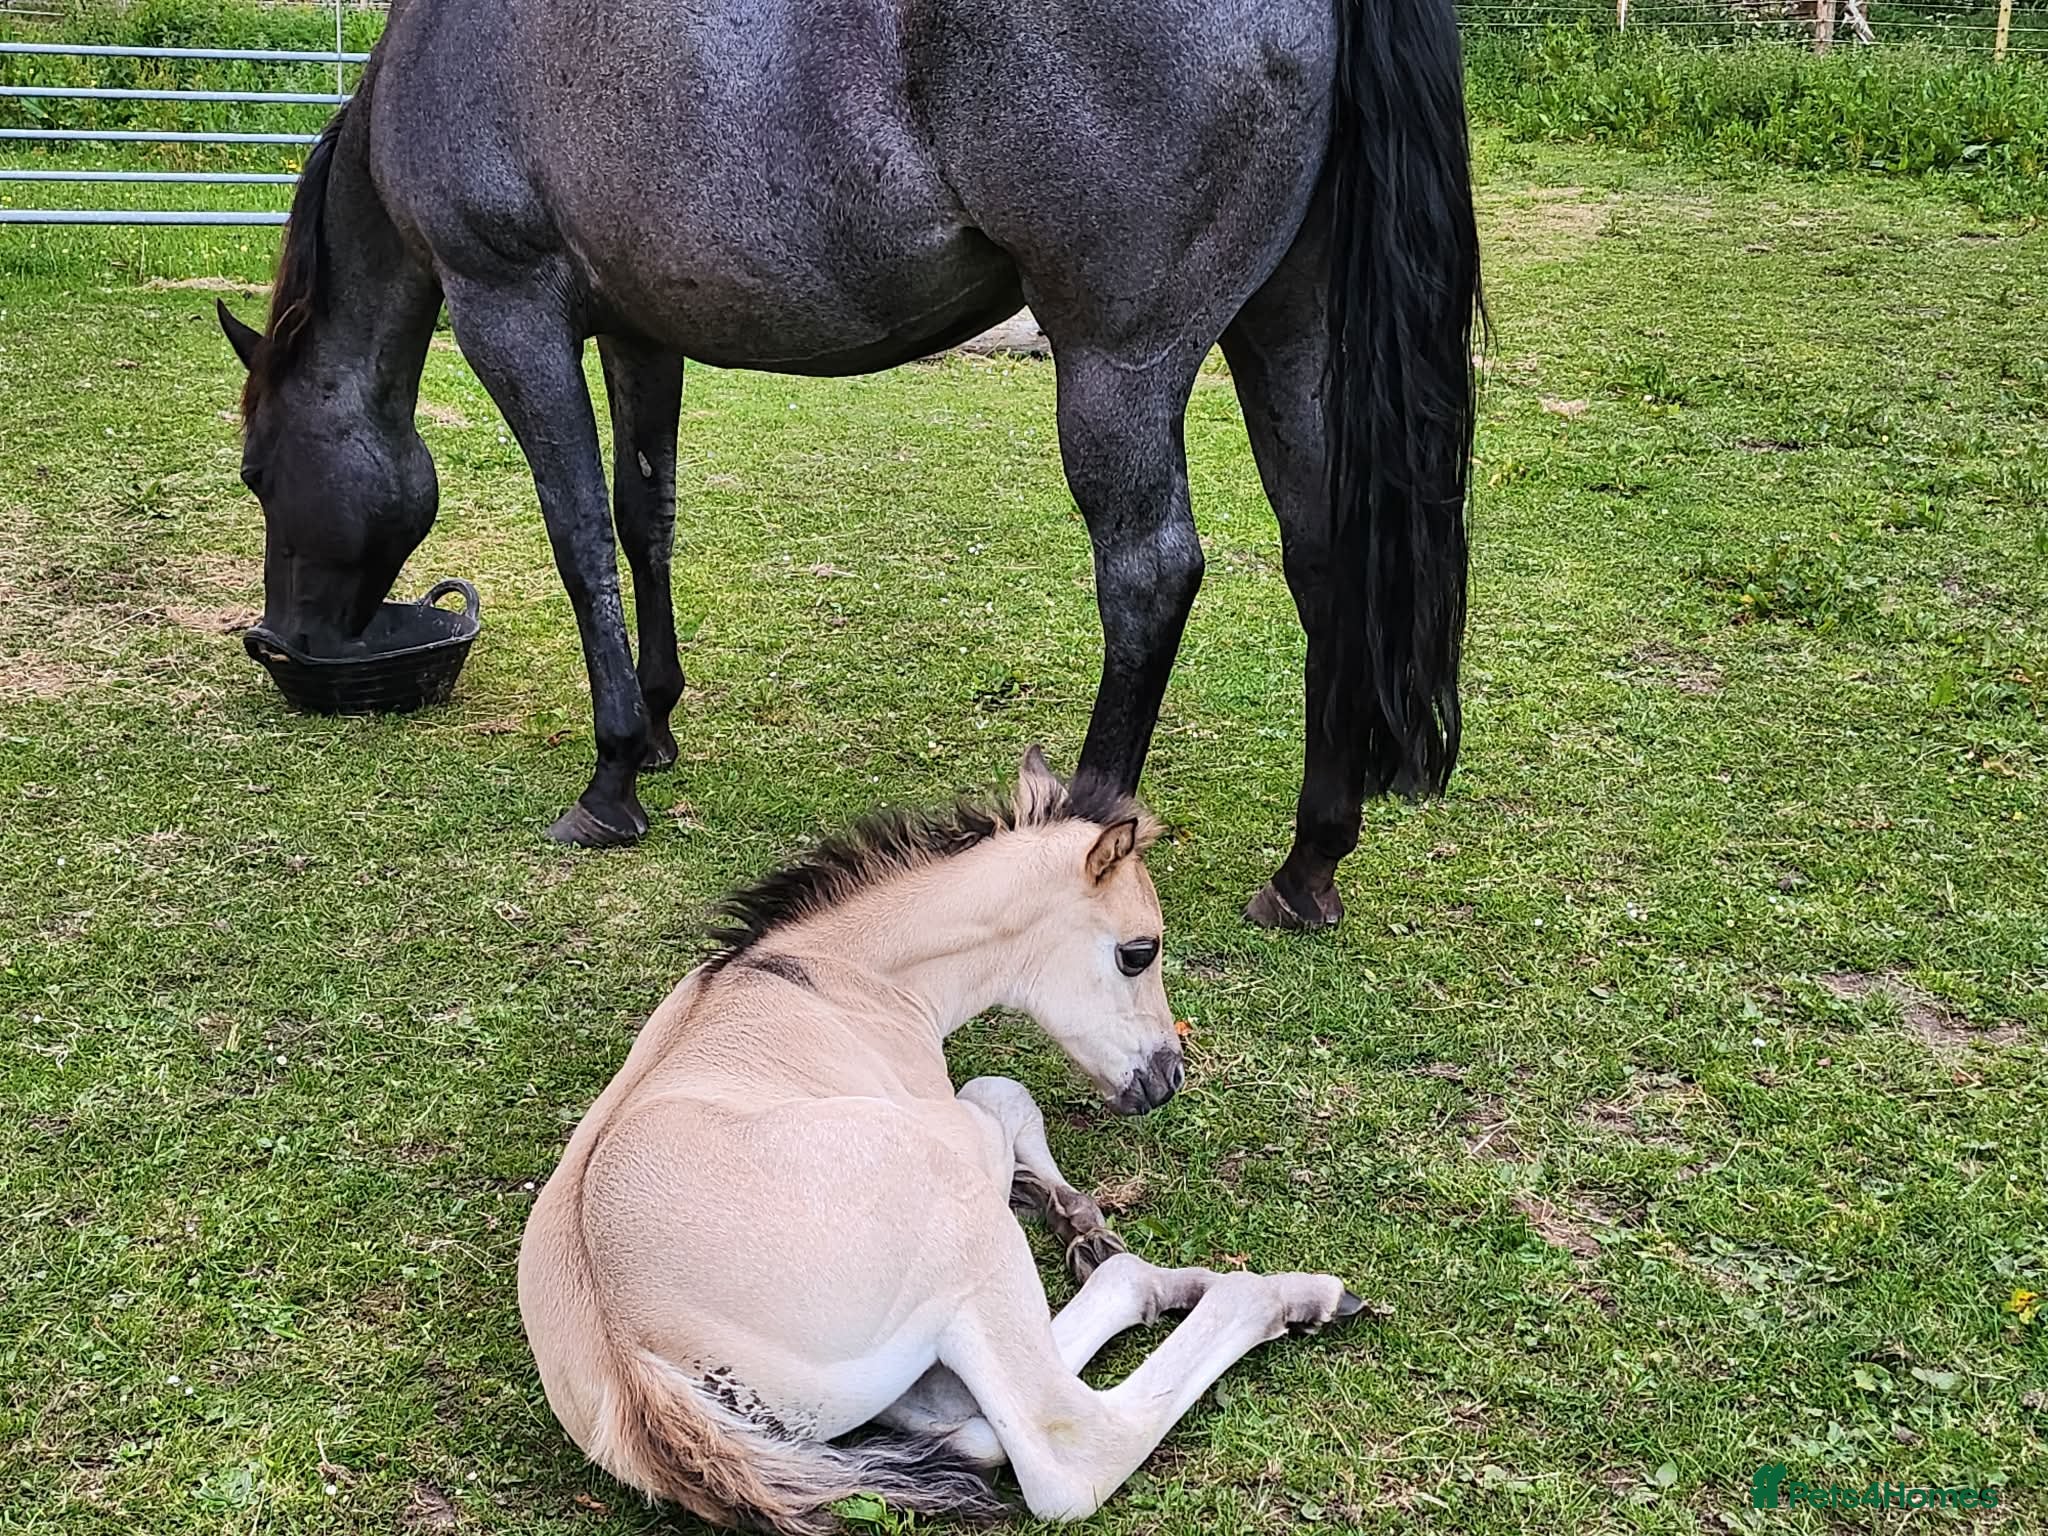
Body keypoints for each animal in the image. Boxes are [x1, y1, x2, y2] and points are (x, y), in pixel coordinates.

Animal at [217, 0, 1481, 930]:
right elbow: (642, 515)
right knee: (1325, 565)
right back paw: (1307, 866)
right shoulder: (636, 332)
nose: (290, 639)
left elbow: (578, 539)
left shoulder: (508, 312)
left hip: (1120, 359)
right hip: (1289, 330)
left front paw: (611, 776)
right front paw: (660, 726)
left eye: (258, 473)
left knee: (1147, 574)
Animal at [517, 748, 1366, 1530]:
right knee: (1064, 1443)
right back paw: (1282, 1294)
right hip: (966, 1236)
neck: (833, 977)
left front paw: (1063, 1207)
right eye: (1139, 951)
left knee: (964, 1419)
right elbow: (998, 1094)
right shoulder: (954, 1131)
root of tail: (636, 1370)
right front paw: (1068, 1208)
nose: (1167, 1078)